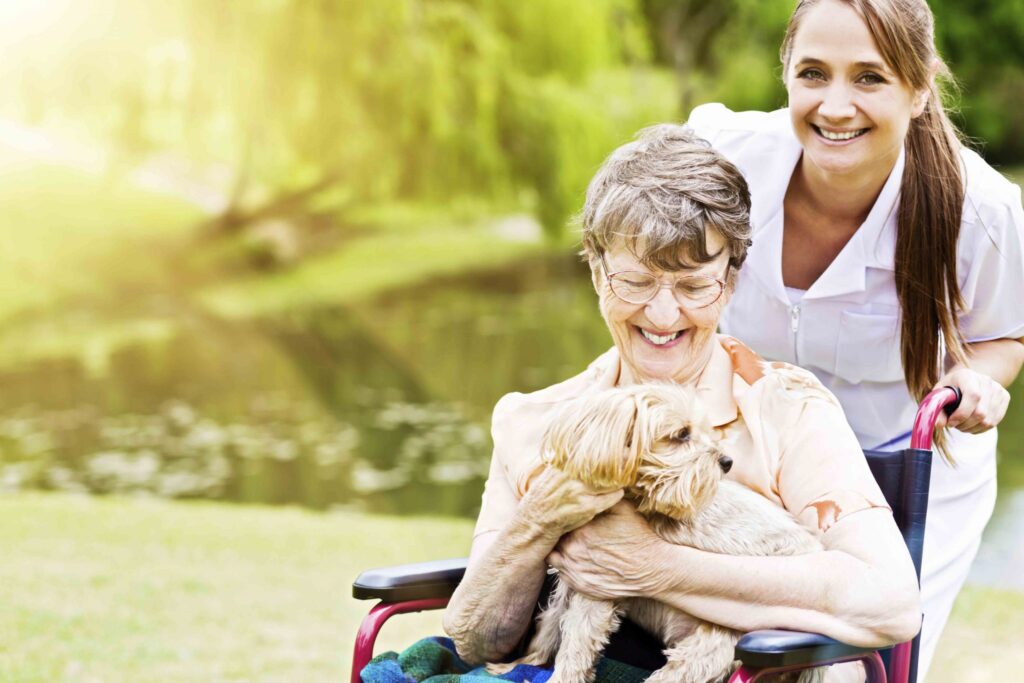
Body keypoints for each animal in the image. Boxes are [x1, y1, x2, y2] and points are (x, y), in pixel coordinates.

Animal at [487, 385, 823, 683]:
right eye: (682, 434)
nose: (727, 462)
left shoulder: (597, 587)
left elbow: (575, 645)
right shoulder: (569, 584)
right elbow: (549, 626)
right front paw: (518, 665)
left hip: (704, 655)